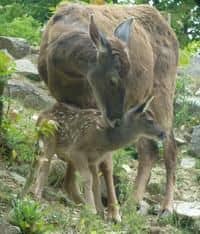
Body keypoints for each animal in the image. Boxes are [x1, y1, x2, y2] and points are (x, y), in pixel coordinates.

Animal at [38, 3, 178, 216]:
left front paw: (112, 212)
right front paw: (75, 194)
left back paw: (166, 207)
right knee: (149, 149)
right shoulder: (65, 98)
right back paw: (132, 202)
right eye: (113, 79)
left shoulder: (92, 101)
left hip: (163, 90)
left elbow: (106, 161)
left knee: (170, 146)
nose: (117, 118)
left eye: (130, 76)